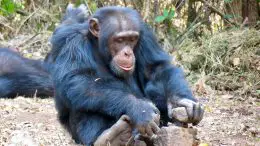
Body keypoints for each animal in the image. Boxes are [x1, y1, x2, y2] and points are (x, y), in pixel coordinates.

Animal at [48, 5, 203, 145]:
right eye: (119, 40)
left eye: (132, 39)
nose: (127, 53)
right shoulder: (74, 43)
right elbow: (78, 79)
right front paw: (140, 109)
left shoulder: (145, 35)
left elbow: (156, 68)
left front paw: (181, 101)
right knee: (84, 98)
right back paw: (111, 136)